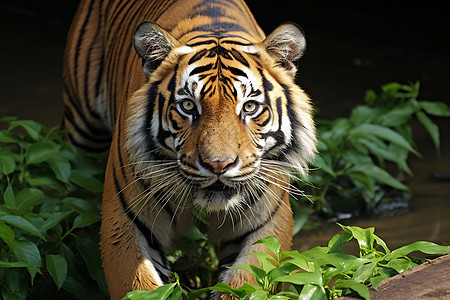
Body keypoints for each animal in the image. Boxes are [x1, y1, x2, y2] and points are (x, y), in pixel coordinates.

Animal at [62, 0, 316, 298]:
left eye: (250, 107)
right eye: (187, 106)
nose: (218, 165)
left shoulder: (267, 223)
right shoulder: (124, 221)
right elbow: (138, 285)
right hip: (81, 128)